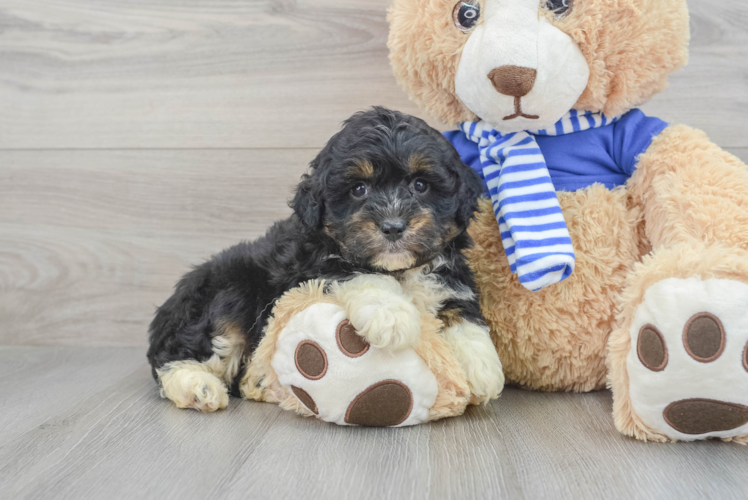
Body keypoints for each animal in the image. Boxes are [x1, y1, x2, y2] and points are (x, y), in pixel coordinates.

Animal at [148, 107, 502, 412]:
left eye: (420, 185)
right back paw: (198, 387)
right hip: (226, 295)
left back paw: (259, 384)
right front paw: (392, 316)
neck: (400, 268)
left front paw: (482, 367)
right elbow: (365, 276)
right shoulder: (315, 267)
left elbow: (462, 313)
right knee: (181, 356)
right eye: (358, 189)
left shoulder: (450, 276)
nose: (393, 226)